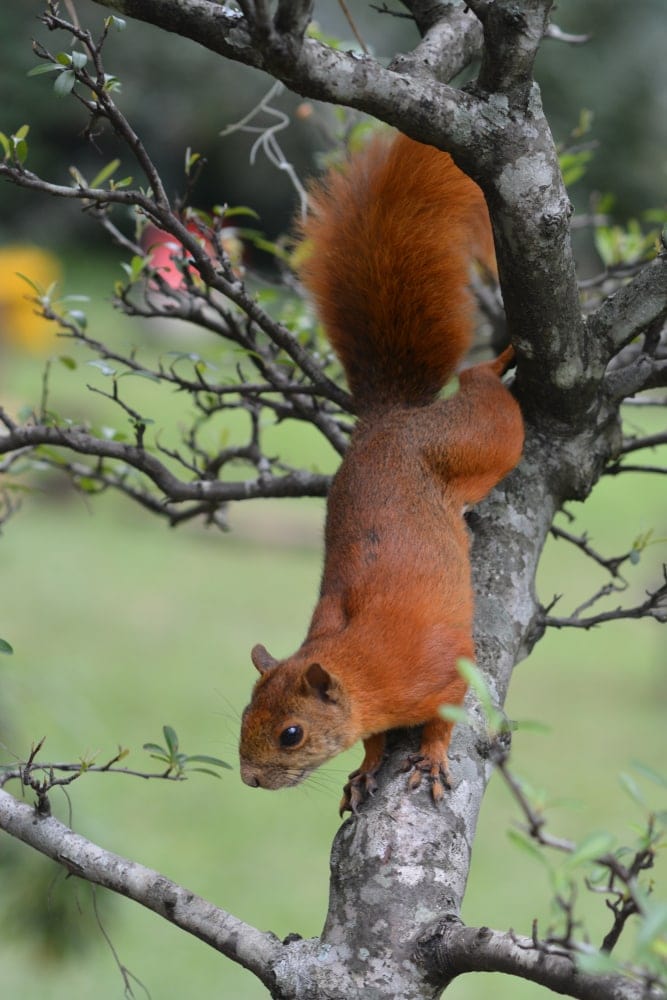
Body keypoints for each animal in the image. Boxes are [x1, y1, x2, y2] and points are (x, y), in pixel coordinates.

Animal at [239, 132, 524, 813]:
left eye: (292, 734)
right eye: (243, 714)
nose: (250, 780)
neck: (361, 662)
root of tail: (388, 422)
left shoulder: (443, 670)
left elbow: (445, 718)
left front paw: (432, 757)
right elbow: (369, 741)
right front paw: (365, 769)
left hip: (480, 444)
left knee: (487, 402)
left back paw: (494, 364)